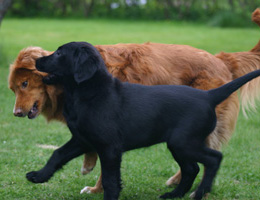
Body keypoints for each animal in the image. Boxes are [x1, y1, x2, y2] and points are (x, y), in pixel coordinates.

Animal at [8, 8, 260, 195]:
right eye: (14, 88)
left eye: (25, 84)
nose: (39, 61)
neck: (88, 91)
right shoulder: (82, 138)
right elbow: (58, 154)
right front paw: (41, 175)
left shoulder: (110, 146)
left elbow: (109, 176)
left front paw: (102, 191)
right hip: (180, 142)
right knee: (194, 166)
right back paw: (176, 191)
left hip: (184, 140)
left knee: (211, 158)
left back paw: (198, 192)